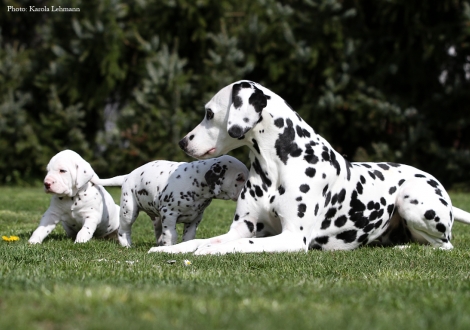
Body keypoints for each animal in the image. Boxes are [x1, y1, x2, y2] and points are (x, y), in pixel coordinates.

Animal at [93, 155, 252, 248]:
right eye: (239, 177)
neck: (196, 183)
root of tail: (127, 176)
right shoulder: (169, 213)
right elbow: (171, 234)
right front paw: (169, 246)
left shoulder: (195, 219)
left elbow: (188, 236)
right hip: (129, 210)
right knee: (124, 229)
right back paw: (126, 244)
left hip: (156, 217)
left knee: (158, 231)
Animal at [149, 80, 470, 255]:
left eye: (208, 113)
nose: (182, 142)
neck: (277, 166)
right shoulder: (241, 228)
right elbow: (201, 240)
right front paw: (170, 248)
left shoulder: (291, 237)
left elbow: (235, 246)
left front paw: (210, 250)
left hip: (411, 200)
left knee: (442, 245)